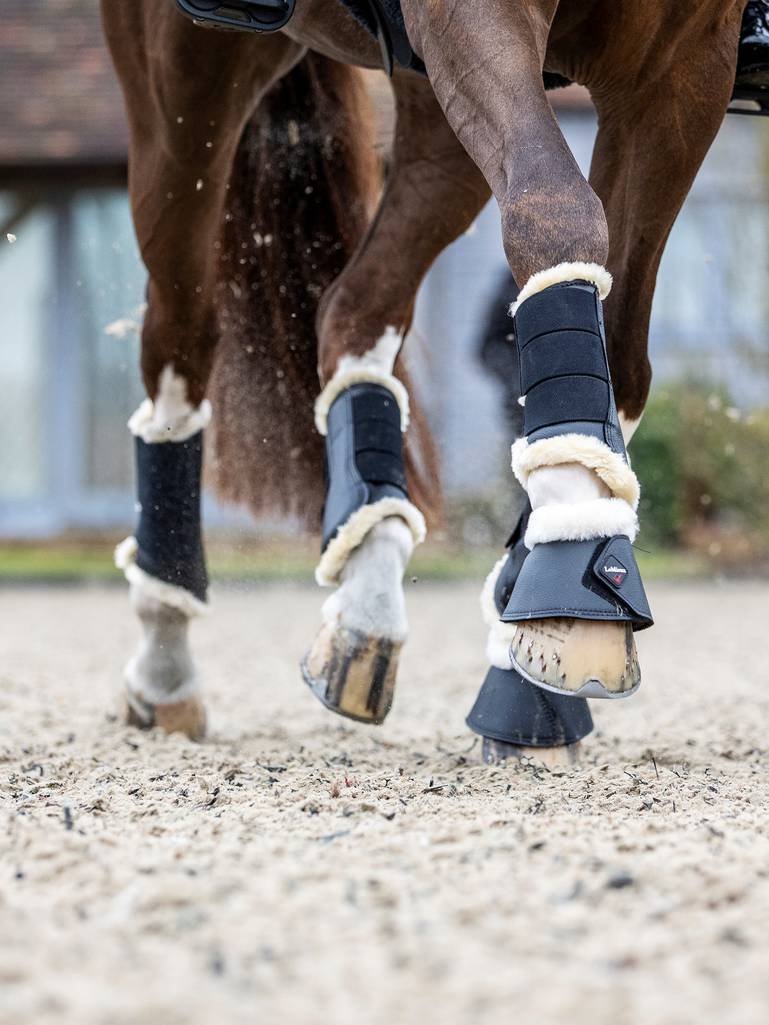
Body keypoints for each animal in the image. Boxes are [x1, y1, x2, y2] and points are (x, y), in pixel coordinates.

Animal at [102, 0, 746, 758]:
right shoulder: (476, 20)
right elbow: (555, 212)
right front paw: (577, 591)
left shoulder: (683, 65)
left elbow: (620, 355)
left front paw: (530, 652)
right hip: (186, 90)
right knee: (183, 331)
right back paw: (165, 658)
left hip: (432, 110)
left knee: (353, 309)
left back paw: (366, 607)